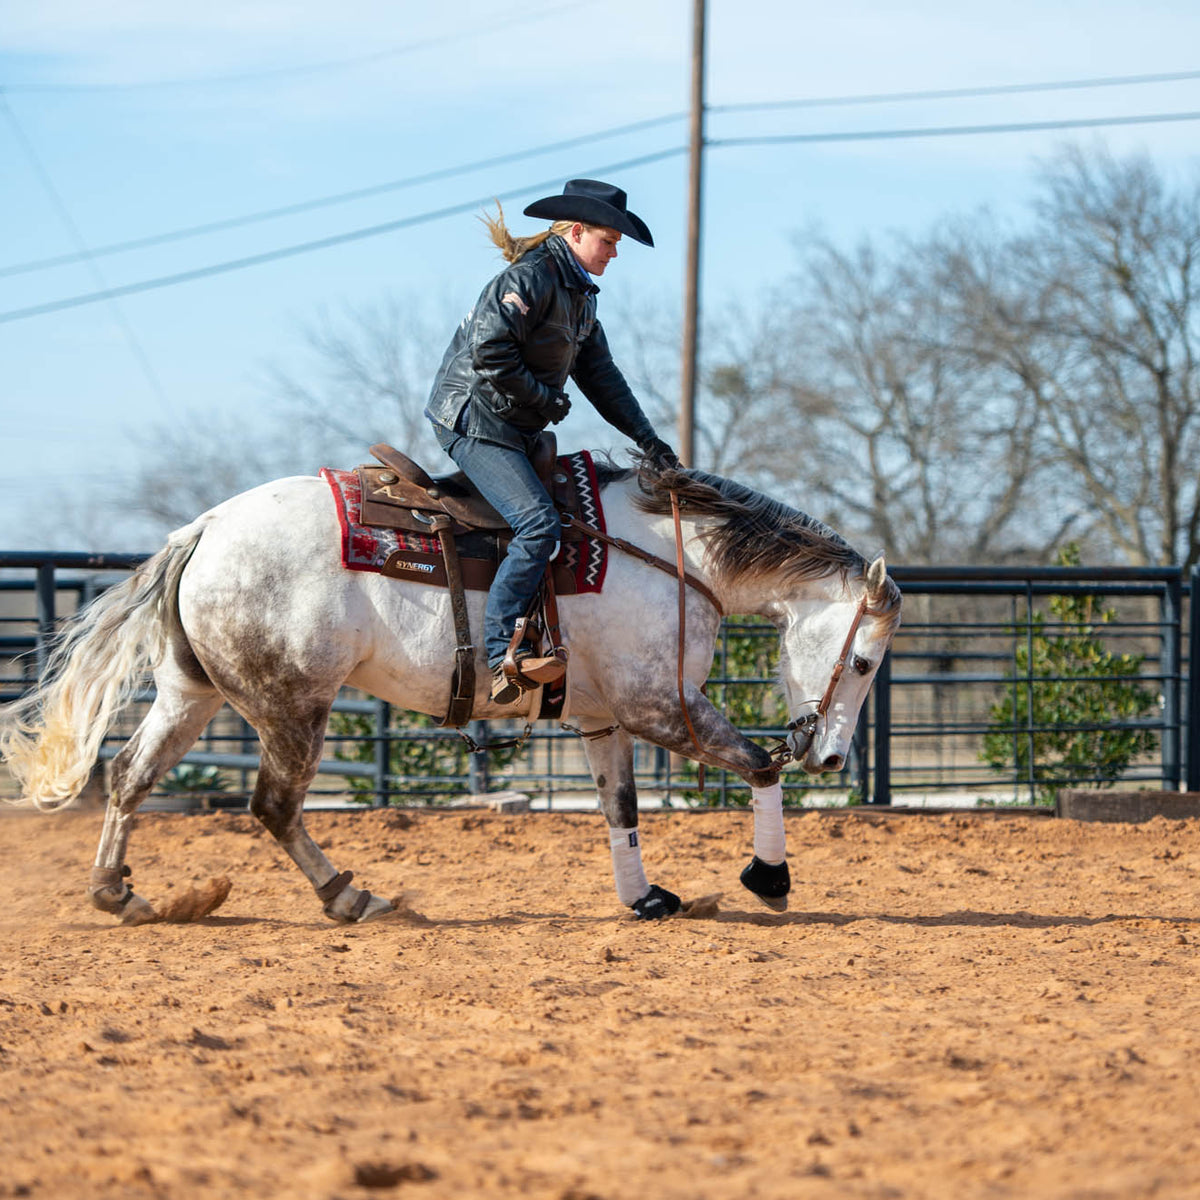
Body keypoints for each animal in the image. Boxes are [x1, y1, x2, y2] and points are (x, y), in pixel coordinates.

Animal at [0, 458, 902, 924]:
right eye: (863, 664)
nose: (829, 758)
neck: (674, 555)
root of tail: (203, 531)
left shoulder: (604, 719)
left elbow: (621, 810)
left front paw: (644, 897)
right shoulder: (656, 704)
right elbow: (758, 765)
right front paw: (770, 879)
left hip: (194, 694)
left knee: (130, 777)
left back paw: (117, 891)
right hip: (294, 705)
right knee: (273, 806)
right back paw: (348, 895)